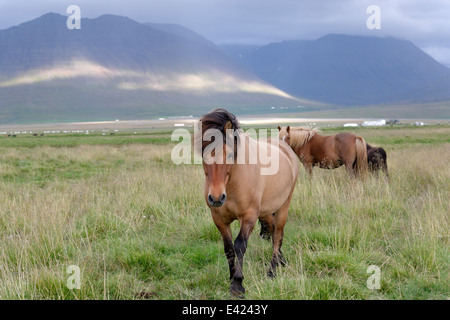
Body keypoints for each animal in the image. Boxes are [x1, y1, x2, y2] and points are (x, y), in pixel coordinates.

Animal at [200, 110, 298, 298]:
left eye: (230, 155)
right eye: (203, 155)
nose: (216, 198)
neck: (231, 183)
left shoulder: (249, 216)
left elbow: (239, 245)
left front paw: (238, 284)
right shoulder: (218, 219)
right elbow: (228, 247)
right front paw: (231, 277)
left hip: (284, 204)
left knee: (278, 233)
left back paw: (272, 270)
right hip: (266, 211)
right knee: (273, 229)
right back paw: (281, 260)